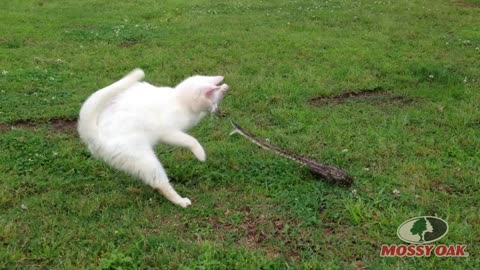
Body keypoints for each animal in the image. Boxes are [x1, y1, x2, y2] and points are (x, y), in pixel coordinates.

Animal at [77, 68, 229, 208]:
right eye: (213, 103)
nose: (216, 110)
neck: (178, 99)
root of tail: (96, 136)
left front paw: (224, 87)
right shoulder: (169, 133)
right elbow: (191, 140)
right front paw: (201, 155)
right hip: (146, 160)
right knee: (160, 184)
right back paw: (181, 201)